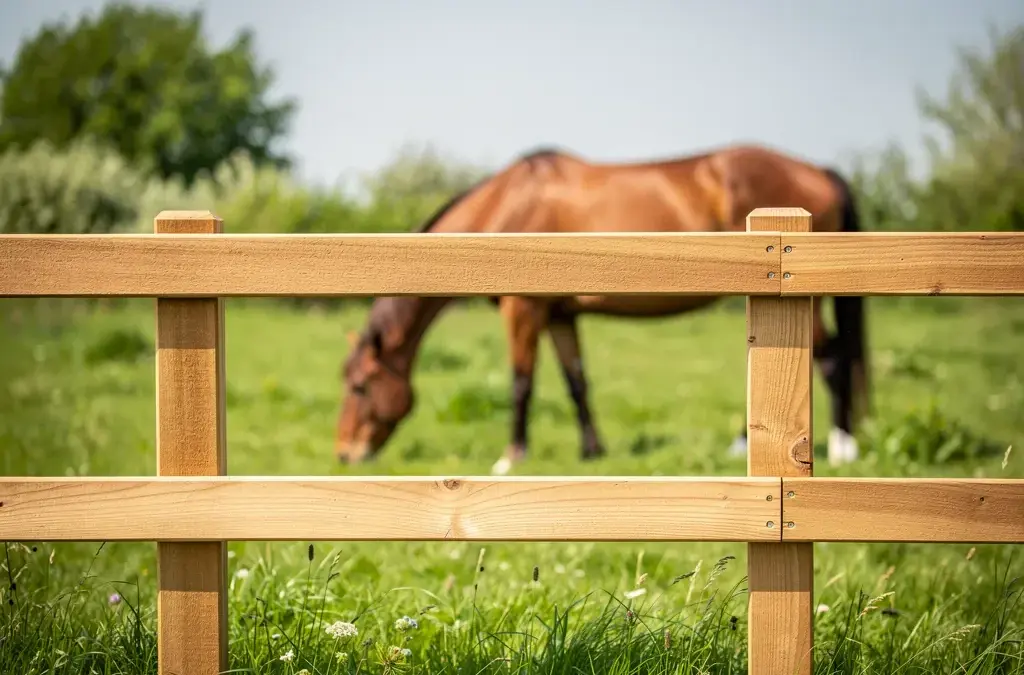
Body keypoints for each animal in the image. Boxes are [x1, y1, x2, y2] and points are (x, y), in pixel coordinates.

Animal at [334, 143, 870, 474]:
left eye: (360, 386)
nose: (344, 453)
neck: (506, 206)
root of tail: (818, 172)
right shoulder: (559, 315)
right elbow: (576, 382)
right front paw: (592, 451)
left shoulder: (522, 310)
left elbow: (521, 383)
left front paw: (511, 457)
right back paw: (743, 443)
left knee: (832, 359)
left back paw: (844, 448)